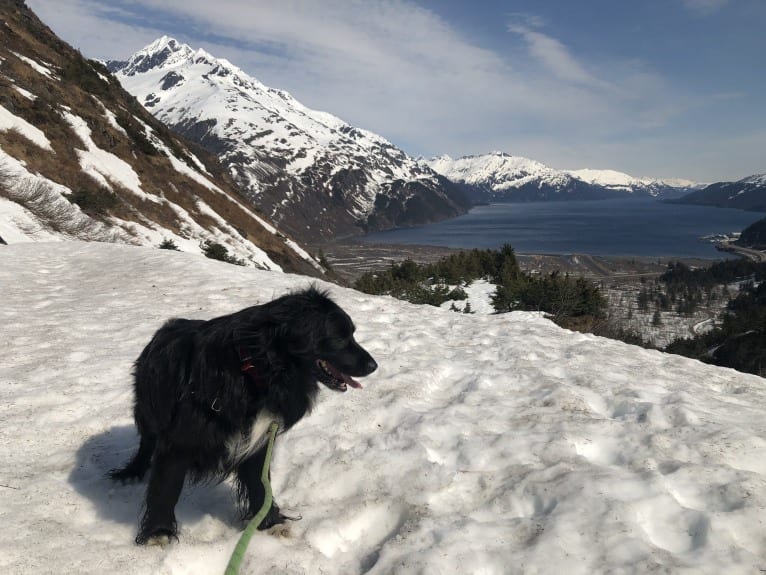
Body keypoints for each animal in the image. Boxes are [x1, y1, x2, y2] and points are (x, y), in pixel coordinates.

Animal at [109, 286, 380, 544]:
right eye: (339, 338)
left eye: (352, 334)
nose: (374, 366)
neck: (256, 370)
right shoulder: (179, 440)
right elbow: (167, 487)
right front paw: (158, 533)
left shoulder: (259, 438)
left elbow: (260, 483)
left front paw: (269, 522)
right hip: (147, 408)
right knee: (147, 442)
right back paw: (132, 471)